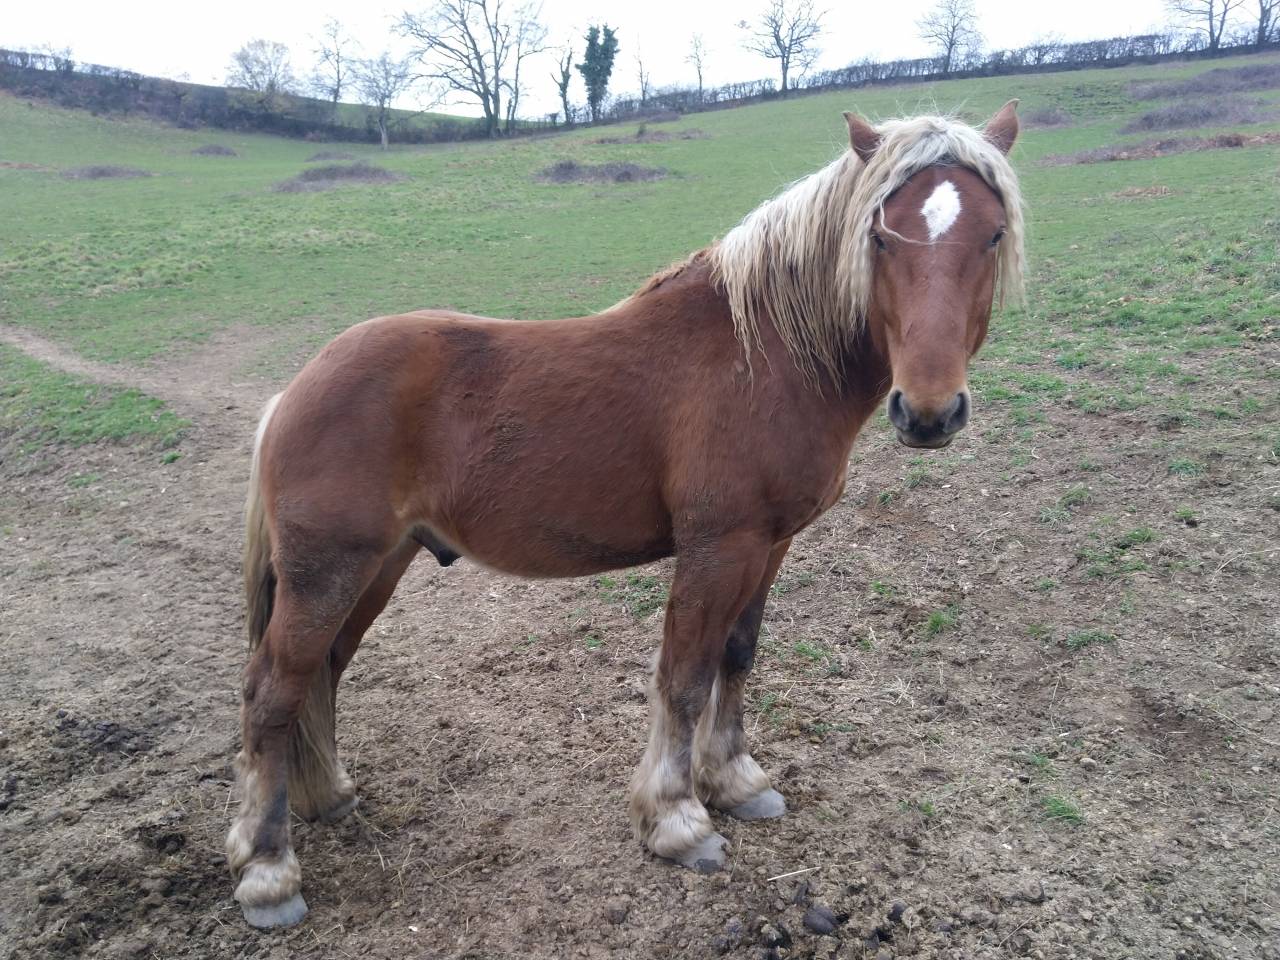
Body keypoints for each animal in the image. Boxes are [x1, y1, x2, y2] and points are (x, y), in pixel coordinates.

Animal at [225, 103, 1026, 928]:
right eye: (880, 236)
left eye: (993, 233)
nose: (928, 412)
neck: (765, 353)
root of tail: (296, 390)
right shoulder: (718, 546)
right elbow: (684, 674)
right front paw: (676, 820)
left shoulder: (770, 545)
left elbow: (736, 656)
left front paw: (736, 783)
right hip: (327, 574)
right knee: (272, 693)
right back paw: (268, 870)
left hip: (375, 569)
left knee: (320, 674)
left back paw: (323, 799)